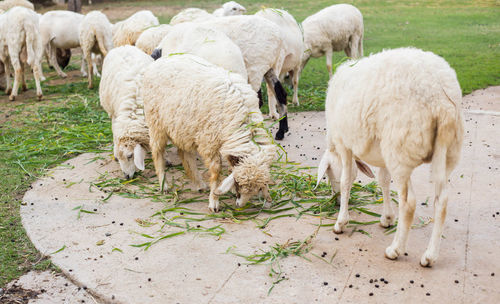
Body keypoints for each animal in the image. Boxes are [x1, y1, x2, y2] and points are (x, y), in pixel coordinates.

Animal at [143, 53, 278, 213]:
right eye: (239, 183)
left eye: (257, 189)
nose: (240, 205)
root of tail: (161, 60)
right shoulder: (209, 142)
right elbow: (216, 171)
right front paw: (214, 201)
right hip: (156, 122)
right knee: (157, 151)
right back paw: (164, 185)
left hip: (183, 127)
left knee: (184, 153)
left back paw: (198, 183)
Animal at [316, 47, 464, 266]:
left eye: (328, 175)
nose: (335, 201)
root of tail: (440, 99)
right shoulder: (381, 150)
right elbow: (383, 180)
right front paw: (386, 218)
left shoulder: (344, 144)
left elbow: (346, 180)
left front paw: (341, 222)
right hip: (445, 151)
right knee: (442, 201)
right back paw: (429, 256)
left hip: (400, 147)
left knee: (409, 203)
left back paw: (395, 249)